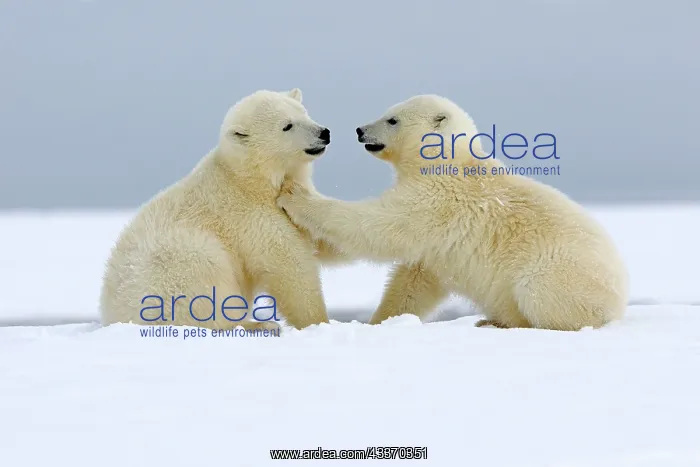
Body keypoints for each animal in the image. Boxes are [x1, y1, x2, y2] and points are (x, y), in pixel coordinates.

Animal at [100, 88, 345, 333]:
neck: (247, 179)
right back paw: (257, 324)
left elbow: (319, 236)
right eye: (287, 125)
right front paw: (318, 321)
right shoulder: (250, 215)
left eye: (304, 112)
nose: (324, 133)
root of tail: (113, 315)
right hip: (174, 265)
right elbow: (288, 263)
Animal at [277, 94, 629, 331]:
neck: (447, 161)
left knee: (540, 295)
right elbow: (415, 280)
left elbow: (380, 227)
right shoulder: (439, 244)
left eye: (392, 119)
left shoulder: (438, 199)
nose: (360, 130)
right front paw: (382, 320)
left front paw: (294, 194)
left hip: (559, 273)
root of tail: (620, 301)